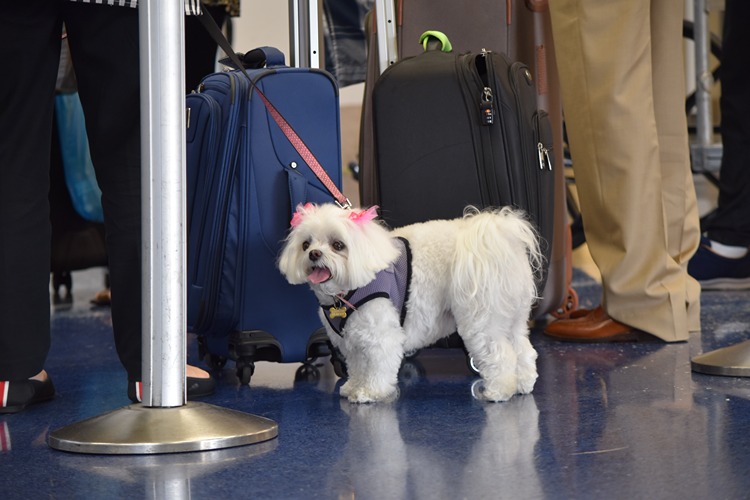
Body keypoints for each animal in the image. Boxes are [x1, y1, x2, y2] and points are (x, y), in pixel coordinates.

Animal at [280, 203, 544, 402]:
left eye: (338, 245)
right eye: (306, 244)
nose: (314, 254)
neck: (346, 292)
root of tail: (500, 239)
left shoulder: (381, 335)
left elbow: (378, 366)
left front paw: (371, 392)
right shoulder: (352, 341)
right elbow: (358, 366)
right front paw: (354, 387)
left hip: (482, 320)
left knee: (501, 355)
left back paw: (498, 391)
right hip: (513, 318)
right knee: (524, 351)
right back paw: (523, 384)